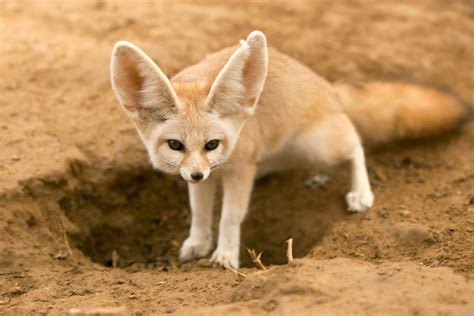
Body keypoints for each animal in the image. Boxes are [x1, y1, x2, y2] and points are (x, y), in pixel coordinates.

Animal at [110, 30, 466, 266]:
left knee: (355, 143)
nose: (197, 174)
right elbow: (199, 212)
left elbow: (230, 217)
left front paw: (225, 255)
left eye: (212, 144)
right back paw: (318, 176)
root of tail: (328, 87)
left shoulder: (239, 170)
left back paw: (360, 193)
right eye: (175, 145)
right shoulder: (205, 177)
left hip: (320, 144)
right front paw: (197, 243)